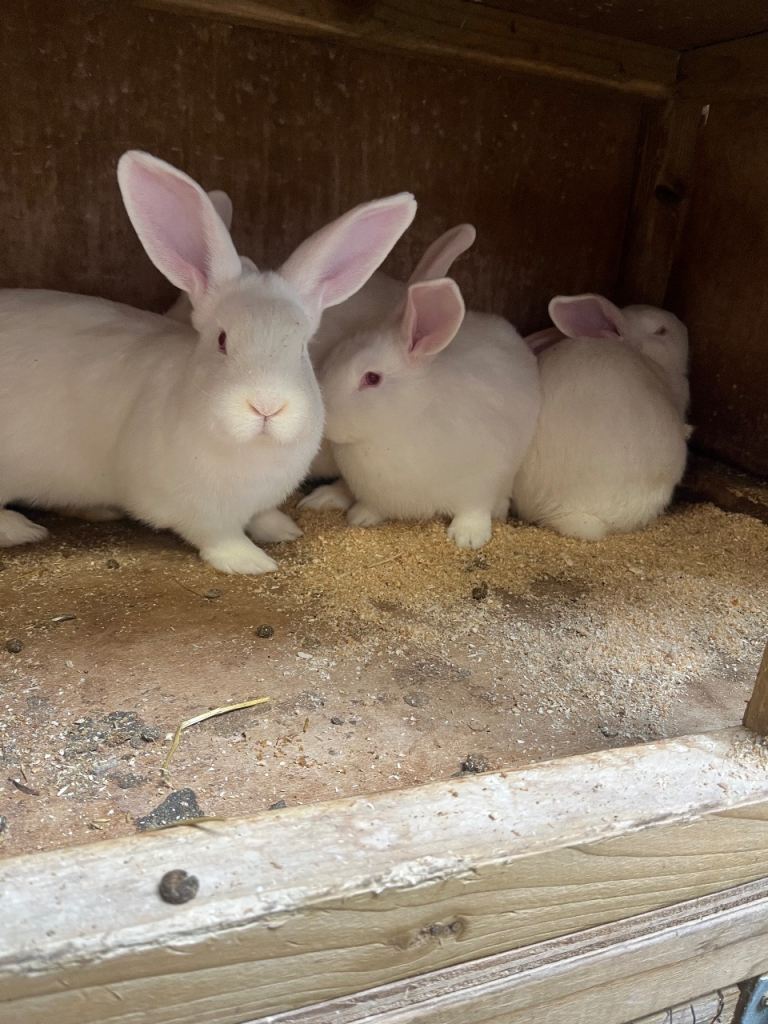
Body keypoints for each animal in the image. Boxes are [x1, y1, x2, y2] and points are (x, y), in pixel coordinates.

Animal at [0, 150, 416, 574]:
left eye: (302, 347)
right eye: (222, 340)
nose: (267, 406)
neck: (253, 451)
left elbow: (262, 515)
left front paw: (283, 530)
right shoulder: (200, 512)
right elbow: (219, 537)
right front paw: (251, 561)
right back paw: (22, 529)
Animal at [298, 276, 541, 549]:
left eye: (372, 378)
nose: (321, 419)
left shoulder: (484, 479)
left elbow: (474, 510)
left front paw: (467, 538)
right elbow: (371, 506)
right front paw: (360, 517)